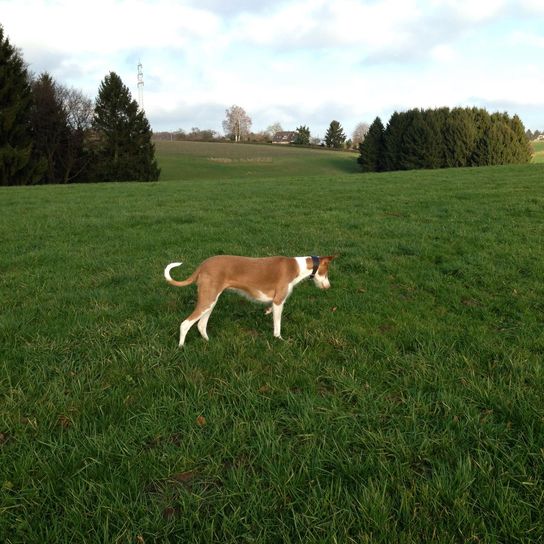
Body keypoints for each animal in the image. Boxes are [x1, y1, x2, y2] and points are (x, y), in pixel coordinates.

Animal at [165, 254, 336, 344]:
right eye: (326, 272)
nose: (329, 286)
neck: (296, 267)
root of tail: (203, 265)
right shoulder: (279, 301)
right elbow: (278, 325)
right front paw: (279, 339)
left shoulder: (274, 302)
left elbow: (269, 310)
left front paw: (267, 311)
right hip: (207, 301)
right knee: (185, 324)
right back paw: (181, 347)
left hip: (211, 301)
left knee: (201, 325)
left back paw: (208, 341)